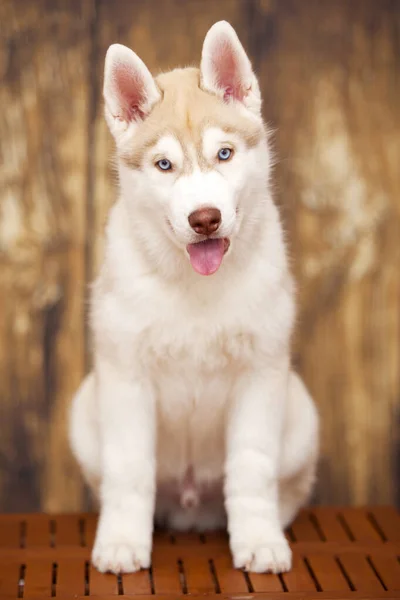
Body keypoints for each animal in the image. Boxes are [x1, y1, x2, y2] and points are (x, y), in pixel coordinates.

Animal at [69, 21, 318, 576]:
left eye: (224, 154)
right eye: (164, 165)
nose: (204, 219)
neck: (195, 283)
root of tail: (188, 506)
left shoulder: (260, 372)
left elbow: (252, 467)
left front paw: (259, 540)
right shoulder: (125, 374)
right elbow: (129, 471)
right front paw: (122, 542)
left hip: (300, 415)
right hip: (84, 412)